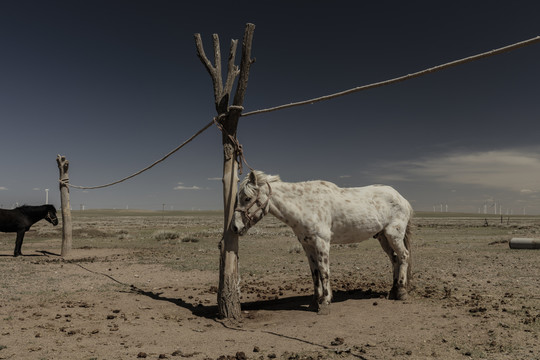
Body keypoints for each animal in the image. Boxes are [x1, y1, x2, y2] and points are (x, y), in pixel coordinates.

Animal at [231, 170, 414, 314]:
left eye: (247, 198)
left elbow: (324, 272)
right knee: (395, 260)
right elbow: (315, 273)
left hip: (393, 235)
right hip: (383, 237)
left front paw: (325, 303)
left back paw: (402, 292)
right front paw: (315, 301)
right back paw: (393, 291)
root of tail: (402, 199)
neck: (305, 205)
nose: (234, 227)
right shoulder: (307, 245)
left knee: (404, 256)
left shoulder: (322, 243)